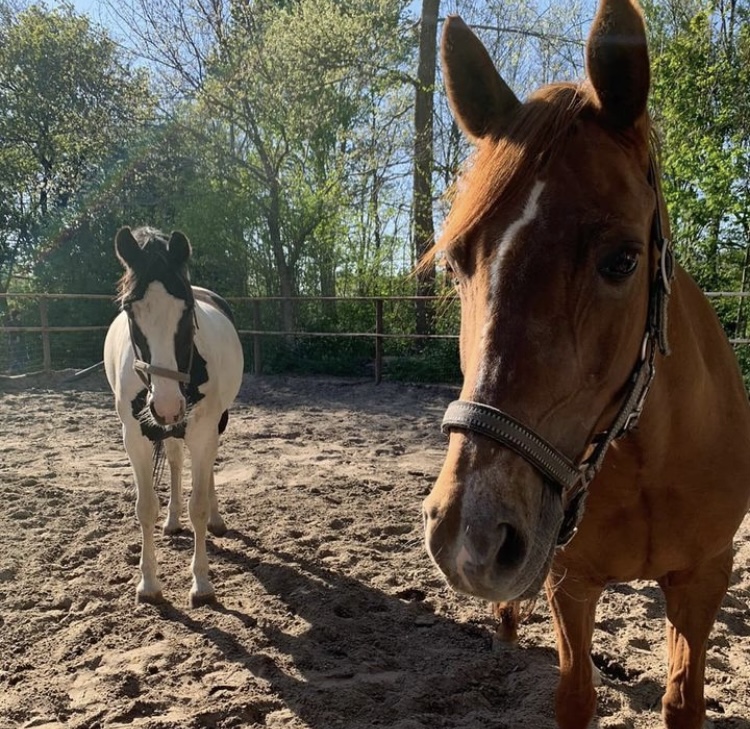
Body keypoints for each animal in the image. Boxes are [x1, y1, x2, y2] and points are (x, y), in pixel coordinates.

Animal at [105, 226, 244, 604]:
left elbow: (198, 505)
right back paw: (171, 520)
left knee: (206, 471)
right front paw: (148, 583)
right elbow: (145, 508)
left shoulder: (203, 431)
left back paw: (215, 519)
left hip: (211, 424)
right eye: (129, 309)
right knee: (176, 461)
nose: (167, 405)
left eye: (187, 309)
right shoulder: (134, 437)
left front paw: (202, 583)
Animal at [424, 2, 750, 724]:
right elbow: (575, 695)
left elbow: (682, 699)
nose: (472, 537)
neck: (646, 457)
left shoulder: (703, 577)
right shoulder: (568, 580)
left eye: (623, 259)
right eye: (458, 262)